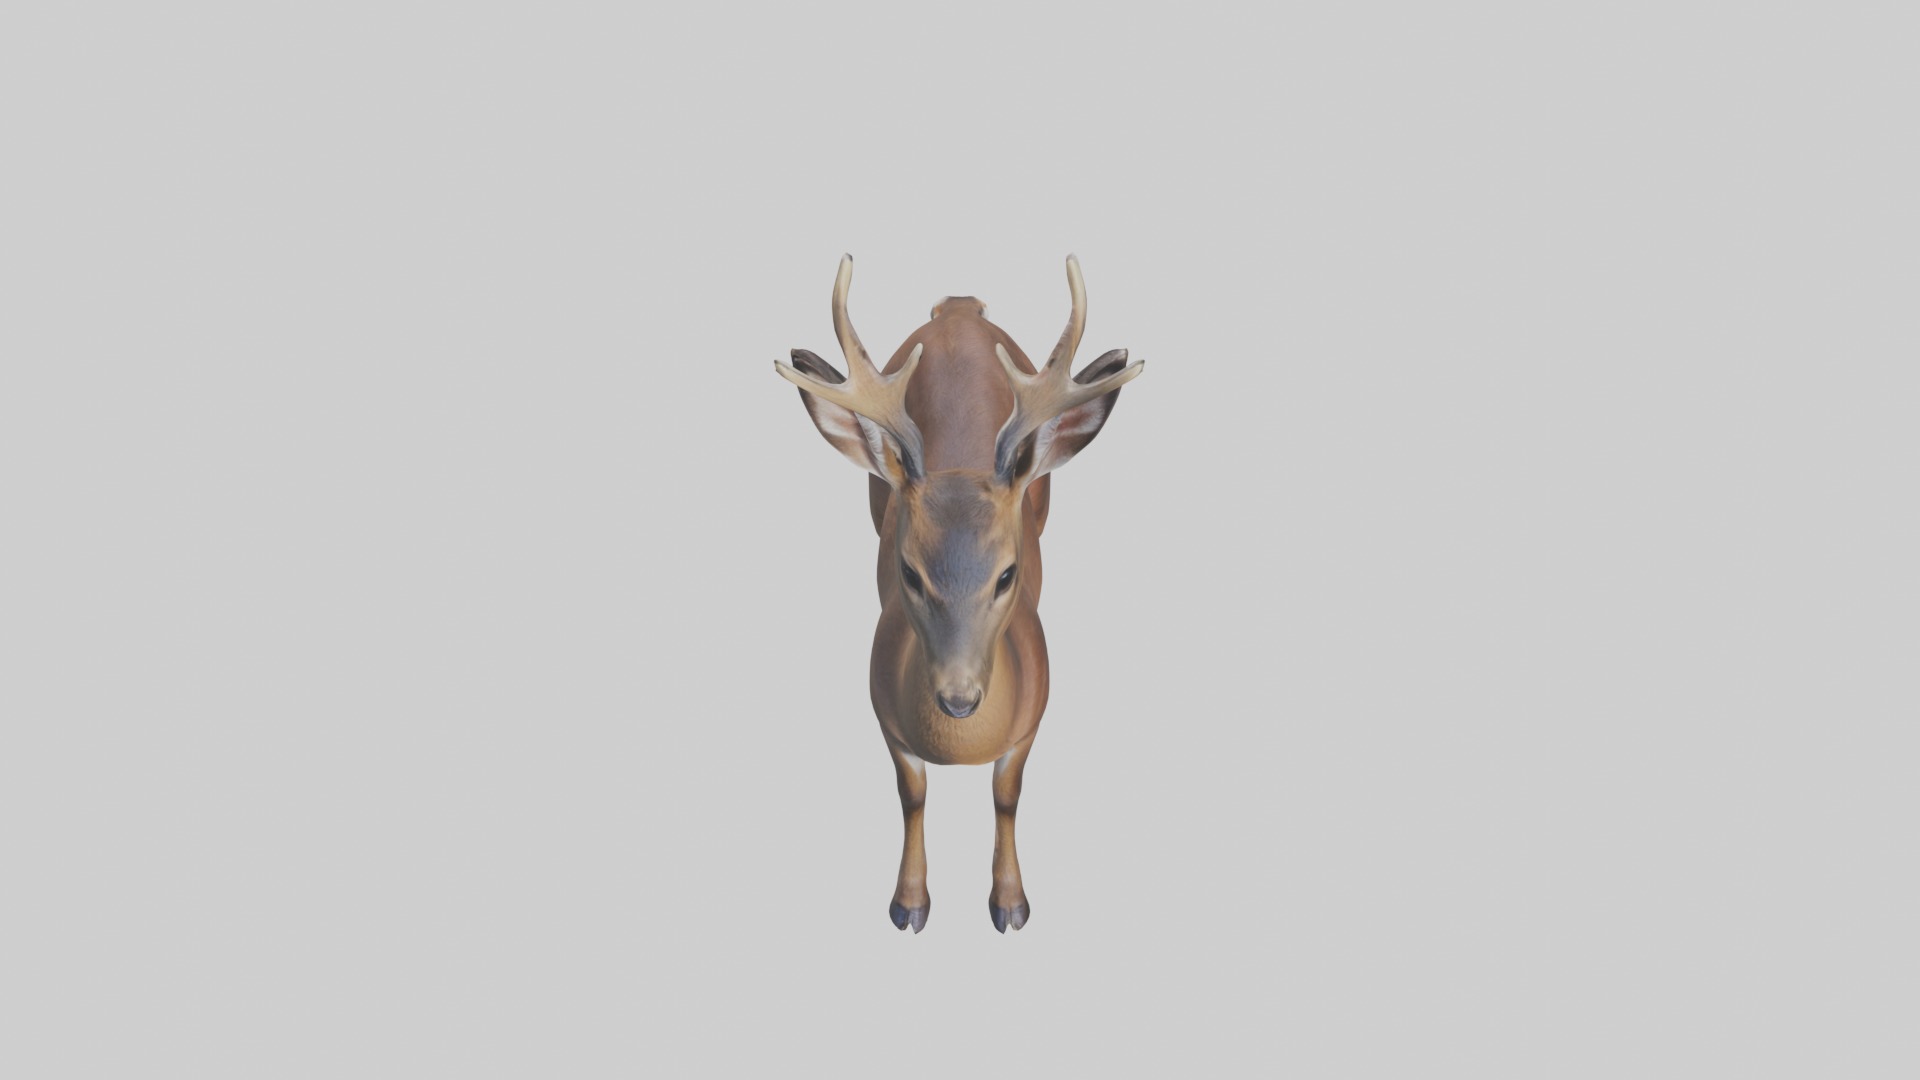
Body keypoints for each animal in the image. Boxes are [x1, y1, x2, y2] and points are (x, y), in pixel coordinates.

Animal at [775, 254, 1144, 933]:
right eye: (909, 573)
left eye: (1007, 574)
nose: (959, 698)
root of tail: (960, 307)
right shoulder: (883, 713)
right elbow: (912, 796)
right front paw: (909, 903)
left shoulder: (1035, 711)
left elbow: (1007, 797)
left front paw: (1010, 903)